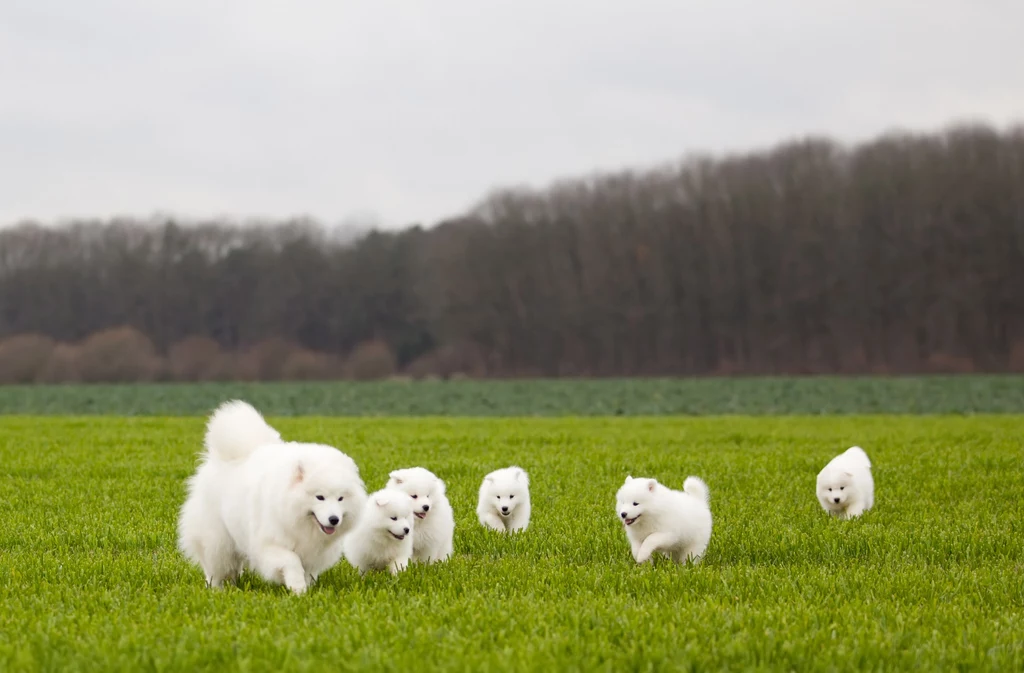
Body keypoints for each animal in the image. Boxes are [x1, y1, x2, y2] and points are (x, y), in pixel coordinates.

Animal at [179, 399, 368, 594]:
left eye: (341, 499)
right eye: (320, 497)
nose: (334, 519)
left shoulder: (313, 552)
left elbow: (308, 570)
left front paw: (306, 587)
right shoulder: (269, 544)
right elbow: (291, 561)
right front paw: (297, 588)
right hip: (218, 541)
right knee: (216, 568)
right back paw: (217, 590)